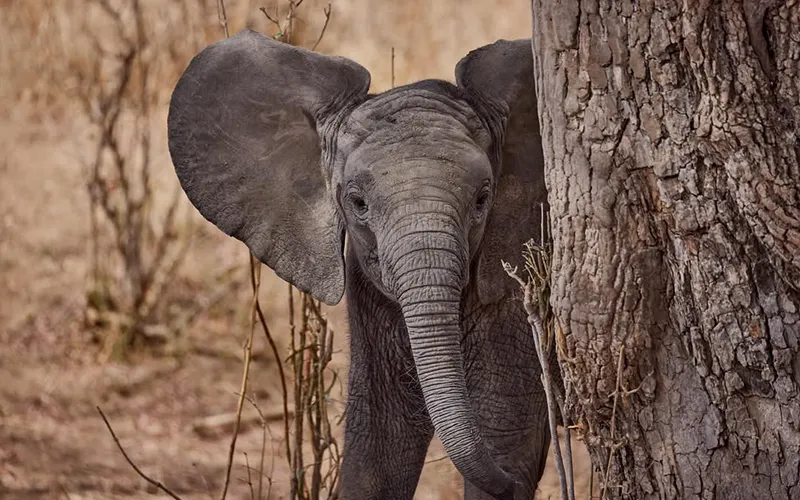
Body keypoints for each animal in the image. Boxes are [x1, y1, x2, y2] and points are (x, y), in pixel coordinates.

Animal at [168, 29, 550, 500]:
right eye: (358, 203)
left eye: (482, 199)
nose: (514, 483)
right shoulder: (366, 282)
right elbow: (380, 445)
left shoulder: (515, 285)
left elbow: (505, 430)